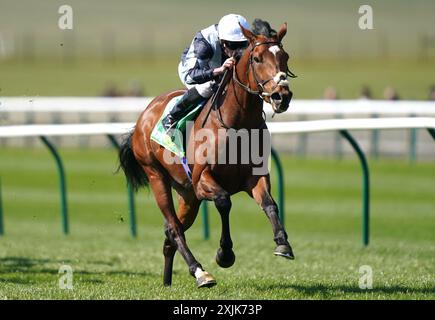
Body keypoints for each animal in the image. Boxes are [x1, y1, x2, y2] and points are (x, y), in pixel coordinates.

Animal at [119, 23, 296, 288]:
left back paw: (168, 280)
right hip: (157, 177)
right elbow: (224, 201)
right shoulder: (203, 180)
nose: (281, 96)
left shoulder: (254, 177)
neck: (238, 125)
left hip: (187, 194)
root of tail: (145, 115)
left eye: (285, 57)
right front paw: (225, 254)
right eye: (256, 58)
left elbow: (270, 204)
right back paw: (200, 272)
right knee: (174, 228)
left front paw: (283, 243)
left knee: (171, 231)